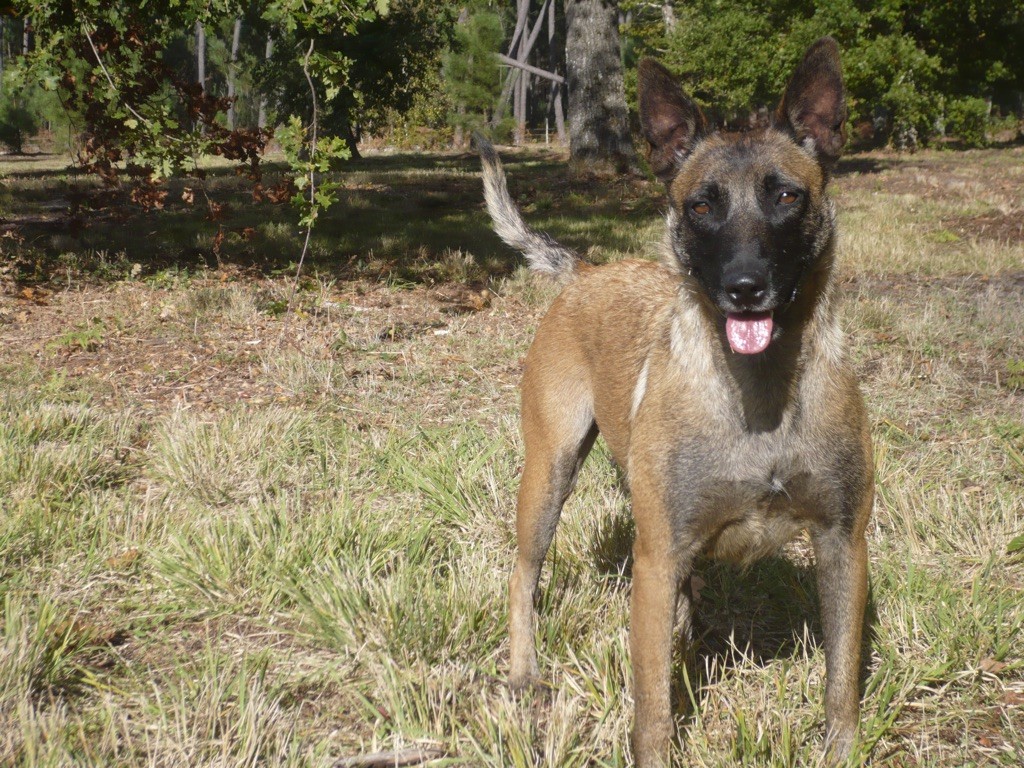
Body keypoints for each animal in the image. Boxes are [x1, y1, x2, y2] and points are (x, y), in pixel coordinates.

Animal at [479, 36, 872, 768]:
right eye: (700, 207)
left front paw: (841, 748)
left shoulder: (843, 543)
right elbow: (653, 712)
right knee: (524, 574)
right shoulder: (656, 561)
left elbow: (842, 681)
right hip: (549, 473)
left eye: (787, 195)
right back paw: (523, 672)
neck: (759, 399)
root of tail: (589, 272)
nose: (745, 287)